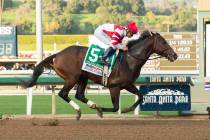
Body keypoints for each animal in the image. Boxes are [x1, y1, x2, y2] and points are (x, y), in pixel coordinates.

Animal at [22, 31, 177, 120]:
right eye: (163, 41)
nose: (174, 55)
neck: (129, 60)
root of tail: (58, 54)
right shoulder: (114, 87)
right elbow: (115, 107)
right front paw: (102, 110)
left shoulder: (127, 84)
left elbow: (140, 96)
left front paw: (128, 109)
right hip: (72, 78)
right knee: (63, 94)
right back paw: (80, 111)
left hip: (83, 77)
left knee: (79, 95)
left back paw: (92, 105)